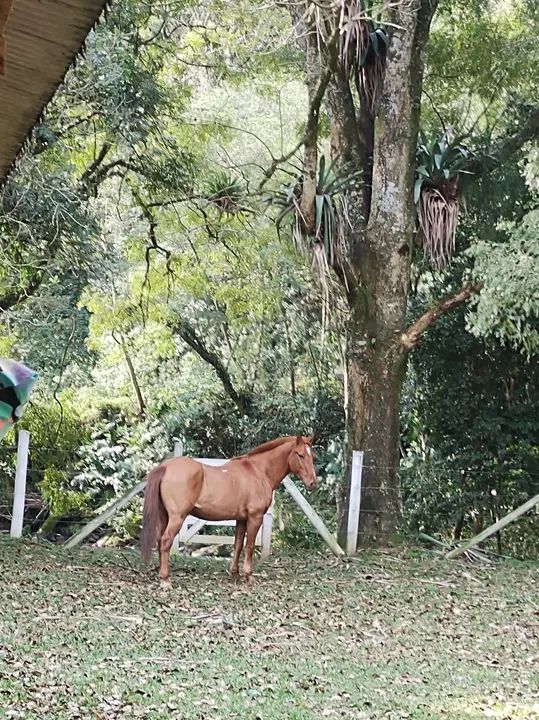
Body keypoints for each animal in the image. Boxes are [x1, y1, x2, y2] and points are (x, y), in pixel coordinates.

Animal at [140, 435, 316, 587]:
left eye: (312, 456)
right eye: (300, 455)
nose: (313, 483)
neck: (258, 471)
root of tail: (166, 466)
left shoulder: (241, 519)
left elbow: (237, 545)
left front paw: (235, 574)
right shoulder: (255, 517)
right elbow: (249, 546)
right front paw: (248, 576)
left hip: (165, 516)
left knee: (160, 541)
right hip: (177, 518)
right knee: (165, 542)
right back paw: (165, 580)